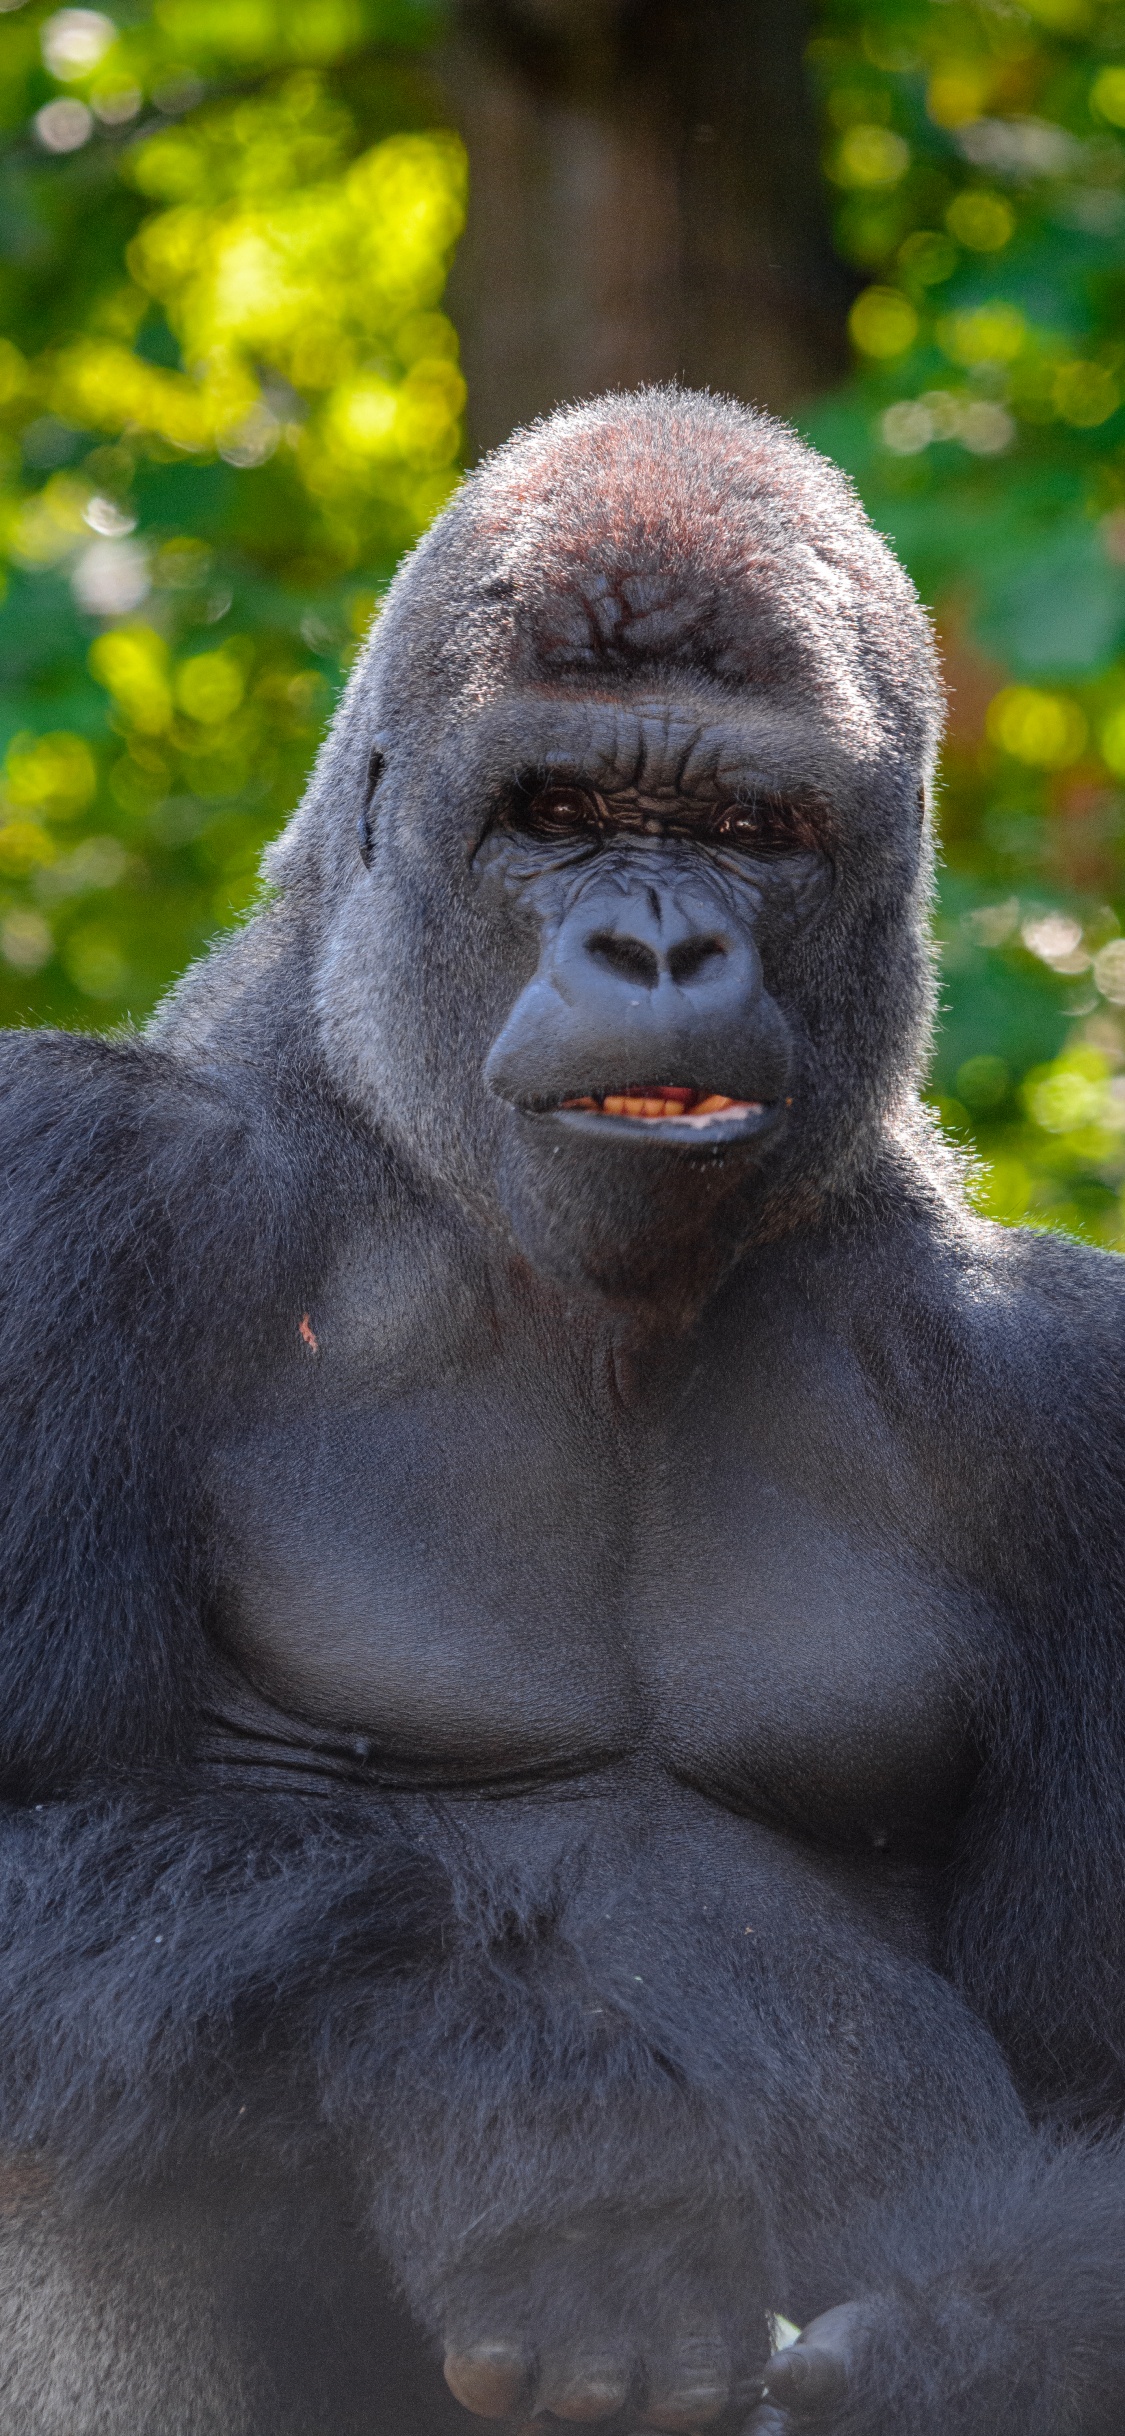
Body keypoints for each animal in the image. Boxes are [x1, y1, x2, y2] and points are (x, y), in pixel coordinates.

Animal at [1, 386, 1125, 2436]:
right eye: (562, 814)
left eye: (751, 830)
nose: (659, 953)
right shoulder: (64, 1188)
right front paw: (523, 2122)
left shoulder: (1070, 1390)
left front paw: (973, 2353)